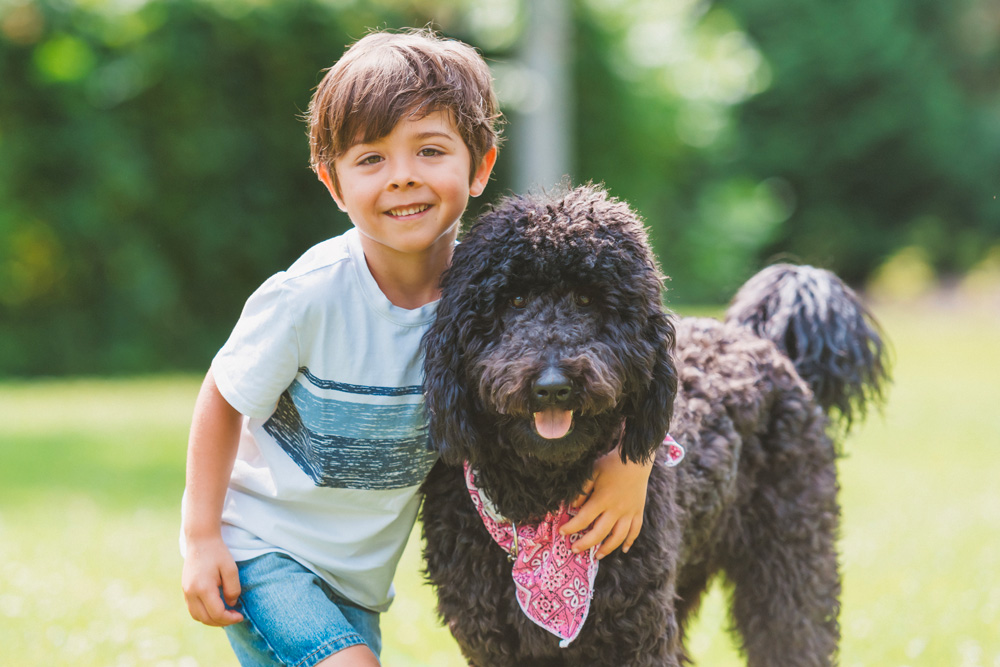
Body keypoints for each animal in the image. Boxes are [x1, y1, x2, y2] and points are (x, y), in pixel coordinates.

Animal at [418, 184, 888, 667]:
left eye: (586, 299)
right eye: (513, 300)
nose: (552, 387)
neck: (543, 497)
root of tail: (765, 343)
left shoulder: (634, 636)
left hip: (789, 559)